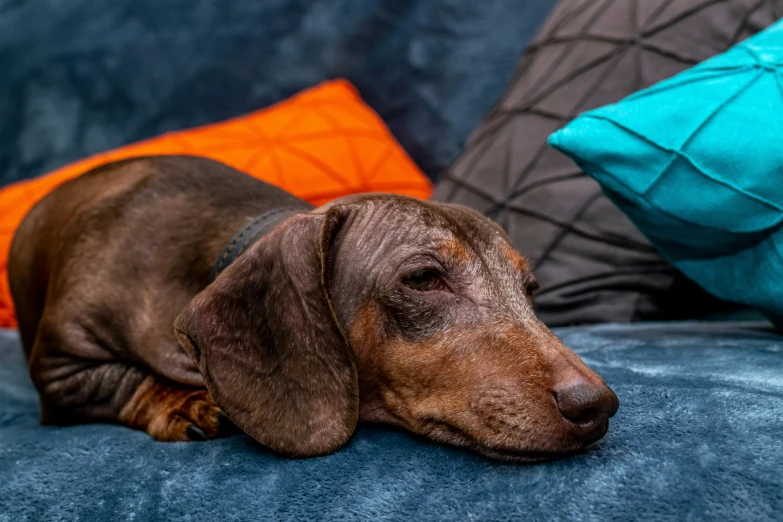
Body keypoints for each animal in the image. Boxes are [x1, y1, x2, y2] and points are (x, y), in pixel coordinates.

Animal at [7, 153, 620, 460]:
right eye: (423, 279)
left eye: (529, 288)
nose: (598, 406)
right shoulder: (62, 367)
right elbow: (124, 382)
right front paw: (186, 402)